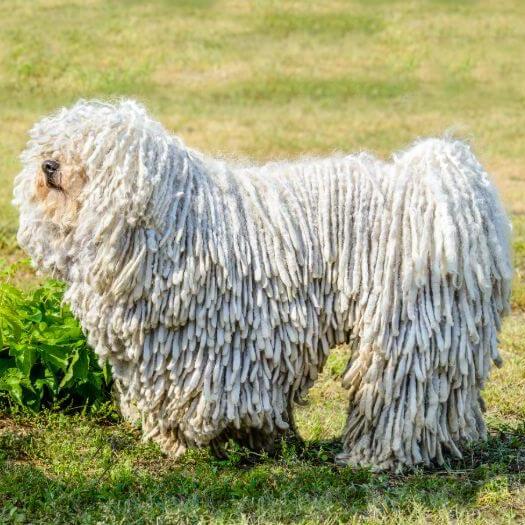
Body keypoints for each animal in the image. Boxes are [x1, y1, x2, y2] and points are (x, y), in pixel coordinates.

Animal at [13, 100, 512, 468]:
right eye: (52, 142)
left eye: (90, 150)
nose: (49, 164)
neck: (171, 219)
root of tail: (445, 189)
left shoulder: (217, 344)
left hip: (406, 325)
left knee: (400, 392)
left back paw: (378, 457)